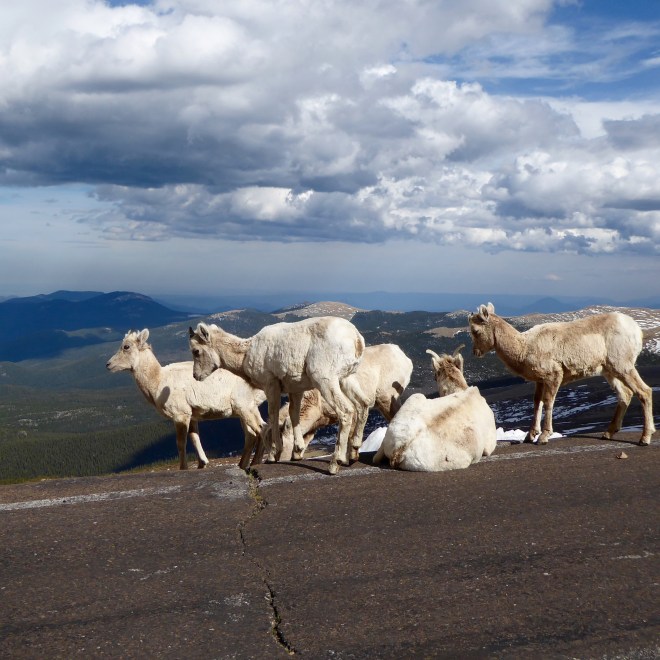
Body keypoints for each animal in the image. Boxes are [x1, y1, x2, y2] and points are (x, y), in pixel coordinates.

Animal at [107, 329, 267, 470]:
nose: (108, 365)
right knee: (255, 433)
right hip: (246, 410)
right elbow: (194, 438)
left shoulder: (180, 415)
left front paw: (183, 468)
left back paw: (250, 464)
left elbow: (181, 443)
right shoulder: (193, 417)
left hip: (245, 408)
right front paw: (202, 464)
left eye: (126, 346)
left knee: (257, 432)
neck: (158, 381)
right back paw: (247, 463)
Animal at [189, 316, 365, 474]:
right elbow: (294, 415)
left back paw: (335, 464)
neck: (245, 355)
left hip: (325, 380)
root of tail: (356, 339)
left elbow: (272, 415)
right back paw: (353, 454)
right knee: (362, 404)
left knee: (346, 410)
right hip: (346, 379)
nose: (196, 376)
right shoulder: (296, 389)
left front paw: (274, 454)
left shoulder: (271, 385)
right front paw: (297, 452)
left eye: (196, 351)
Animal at [468, 303, 655, 445]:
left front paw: (543, 437)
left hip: (623, 366)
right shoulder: (539, 381)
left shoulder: (554, 376)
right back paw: (607, 434)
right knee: (625, 395)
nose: (475, 352)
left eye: (476, 331)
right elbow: (537, 403)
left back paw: (644, 439)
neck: (524, 347)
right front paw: (530, 436)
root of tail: (637, 330)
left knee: (644, 391)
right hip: (610, 372)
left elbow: (548, 402)